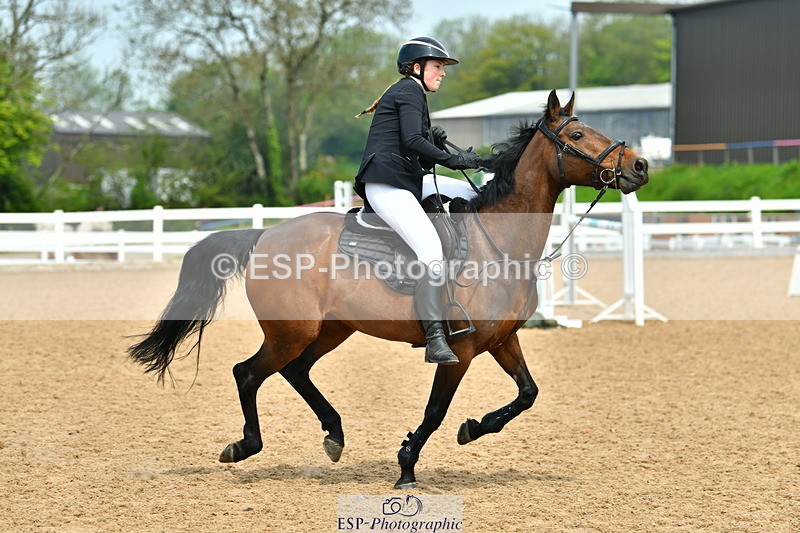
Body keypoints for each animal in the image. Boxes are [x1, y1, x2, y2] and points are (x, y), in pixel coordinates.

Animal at [128, 90, 649, 489]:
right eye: (577, 136)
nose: (640, 166)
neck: (497, 242)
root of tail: (265, 235)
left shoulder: (502, 339)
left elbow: (527, 393)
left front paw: (473, 428)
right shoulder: (459, 352)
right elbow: (436, 411)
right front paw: (407, 465)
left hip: (330, 330)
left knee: (294, 371)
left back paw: (334, 435)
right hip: (291, 330)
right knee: (248, 373)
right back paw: (244, 446)